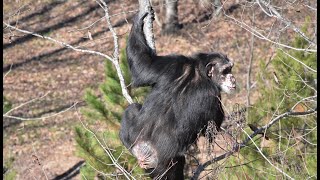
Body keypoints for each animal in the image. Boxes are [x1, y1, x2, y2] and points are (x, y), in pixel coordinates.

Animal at [119, 10, 235, 180]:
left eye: (230, 69)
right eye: (226, 71)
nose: (232, 77)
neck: (199, 72)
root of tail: (144, 152)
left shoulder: (174, 62)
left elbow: (143, 67)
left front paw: (138, 20)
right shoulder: (213, 96)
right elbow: (211, 130)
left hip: (133, 140)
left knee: (131, 109)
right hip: (164, 166)